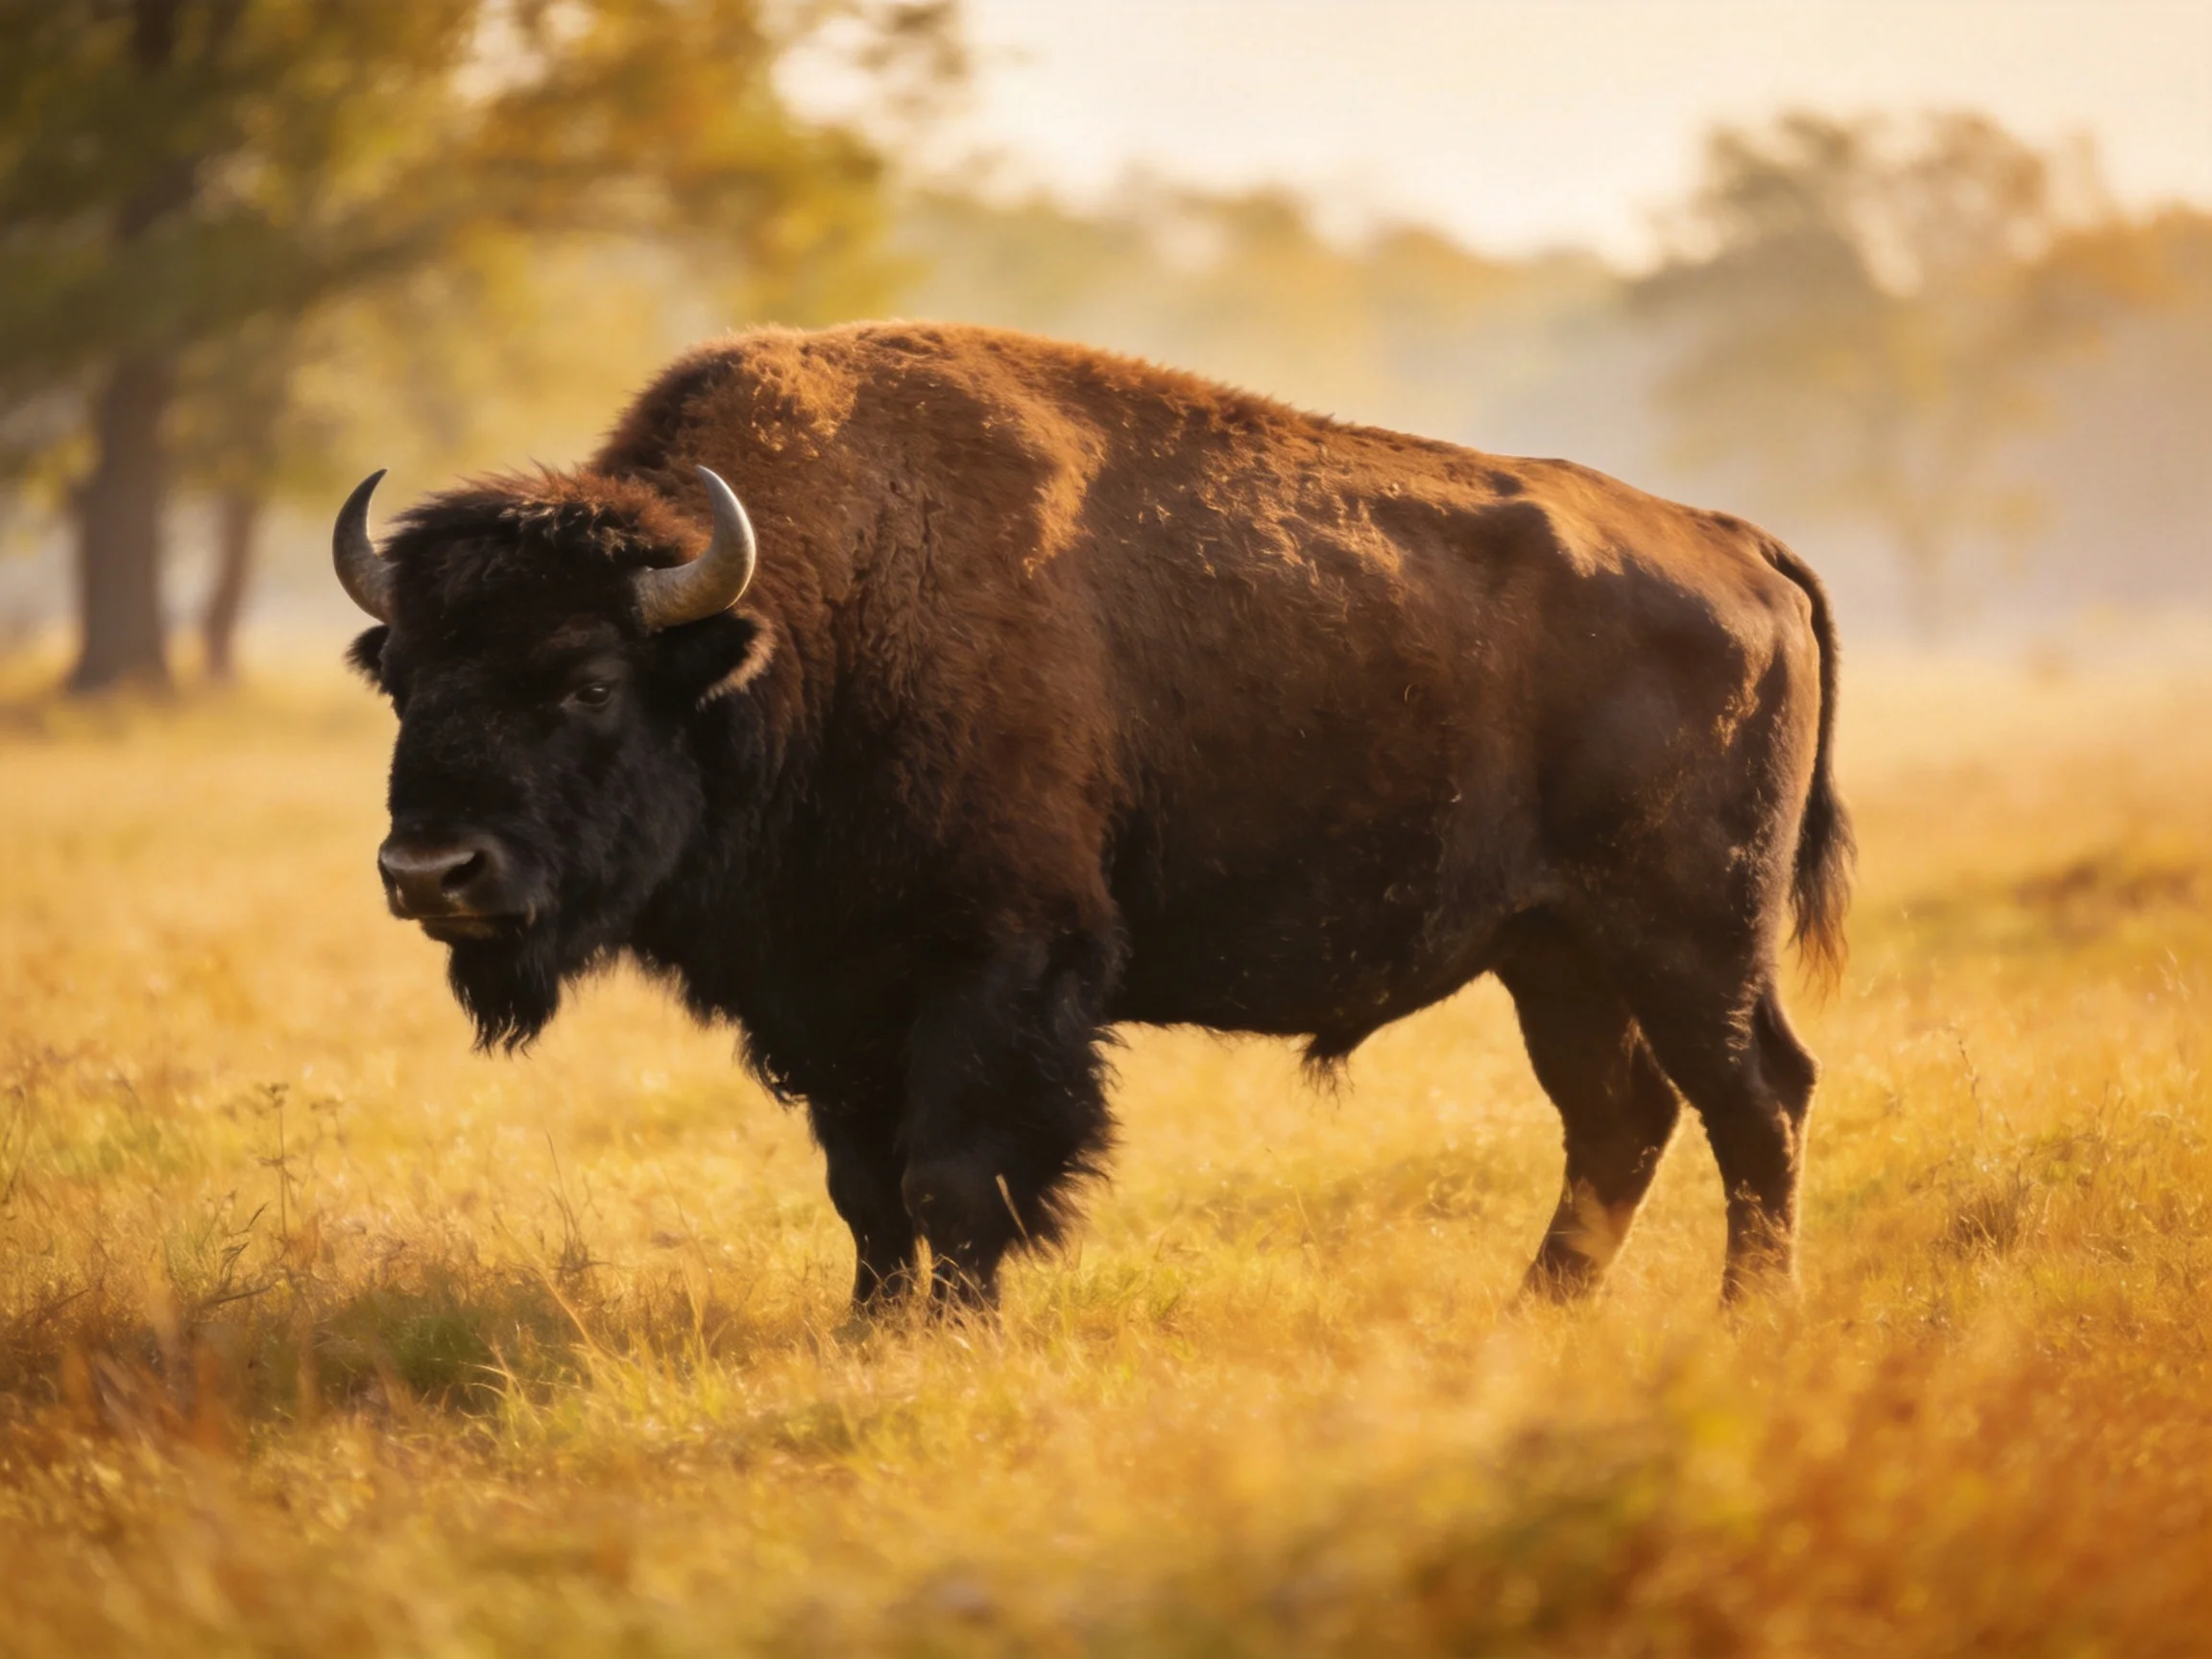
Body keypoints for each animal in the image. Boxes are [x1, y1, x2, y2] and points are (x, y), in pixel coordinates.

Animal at [335, 321, 1851, 1308]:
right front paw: (875, 1334)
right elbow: (865, 1191)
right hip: (1556, 956)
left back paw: (1749, 1319)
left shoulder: (996, 970)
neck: (805, 623)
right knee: (1621, 1116)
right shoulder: (830, 999)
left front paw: (958, 1332)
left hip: (1689, 939)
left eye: (587, 680)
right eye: (403, 678)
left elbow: (954, 1180)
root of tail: (1736, 546)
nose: (430, 869)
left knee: (1754, 1100)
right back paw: (1537, 1313)